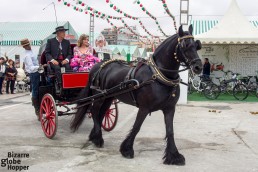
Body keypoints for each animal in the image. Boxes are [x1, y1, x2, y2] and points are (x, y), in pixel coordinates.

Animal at [71, 25, 204, 165]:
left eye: (196, 45)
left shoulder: (169, 108)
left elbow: (170, 131)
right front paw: (127, 149)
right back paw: (98, 139)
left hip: (108, 98)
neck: (158, 75)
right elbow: (136, 127)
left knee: (101, 114)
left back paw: (94, 136)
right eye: (184, 45)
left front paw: (173, 155)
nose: (198, 67)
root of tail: (98, 65)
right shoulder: (144, 108)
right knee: (95, 111)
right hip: (98, 97)